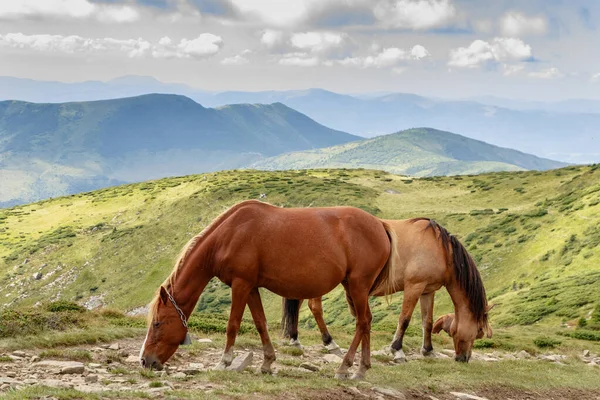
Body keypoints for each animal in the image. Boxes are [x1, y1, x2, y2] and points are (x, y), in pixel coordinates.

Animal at [139, 202, 398, 380]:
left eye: (157, 323)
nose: (145, 361)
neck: (228, 235)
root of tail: (380, 225)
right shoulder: (251, 287)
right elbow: (260, 323)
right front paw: (267, 363)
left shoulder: (240, 284)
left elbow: (232, 324)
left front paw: (224, 362)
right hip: (353, 286)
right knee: (366, 322)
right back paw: (361, 369)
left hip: (358, 285)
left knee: (363, 322)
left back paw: (346, 368)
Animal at [282, 219, 492, 362]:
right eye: (479, 331)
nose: (464, 358)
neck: (439, 249)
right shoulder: (414, 286)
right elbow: (405, 319)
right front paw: (397, 350)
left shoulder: (427, 290)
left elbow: (427, 321)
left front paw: (428, 350)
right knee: (315, 307)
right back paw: (329, 342)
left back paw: (294, 339)